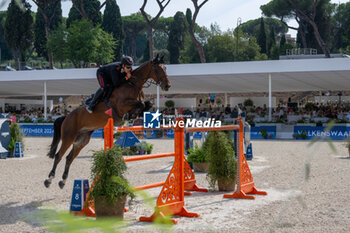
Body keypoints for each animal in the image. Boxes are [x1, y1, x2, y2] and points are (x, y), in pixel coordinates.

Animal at [43, 55, 172, 188]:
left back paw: (62, 181)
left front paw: (133, 115)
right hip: (68, 137)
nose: (167, 86)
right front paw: (128, 115)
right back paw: (49, 179)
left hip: (81, 140)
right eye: (158, 69)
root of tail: (67, 117)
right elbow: (139, 104)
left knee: (69, 158)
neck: (133, 84)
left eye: (165, 68)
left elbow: (146, 105)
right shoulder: (121, 105)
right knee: (58, 156)